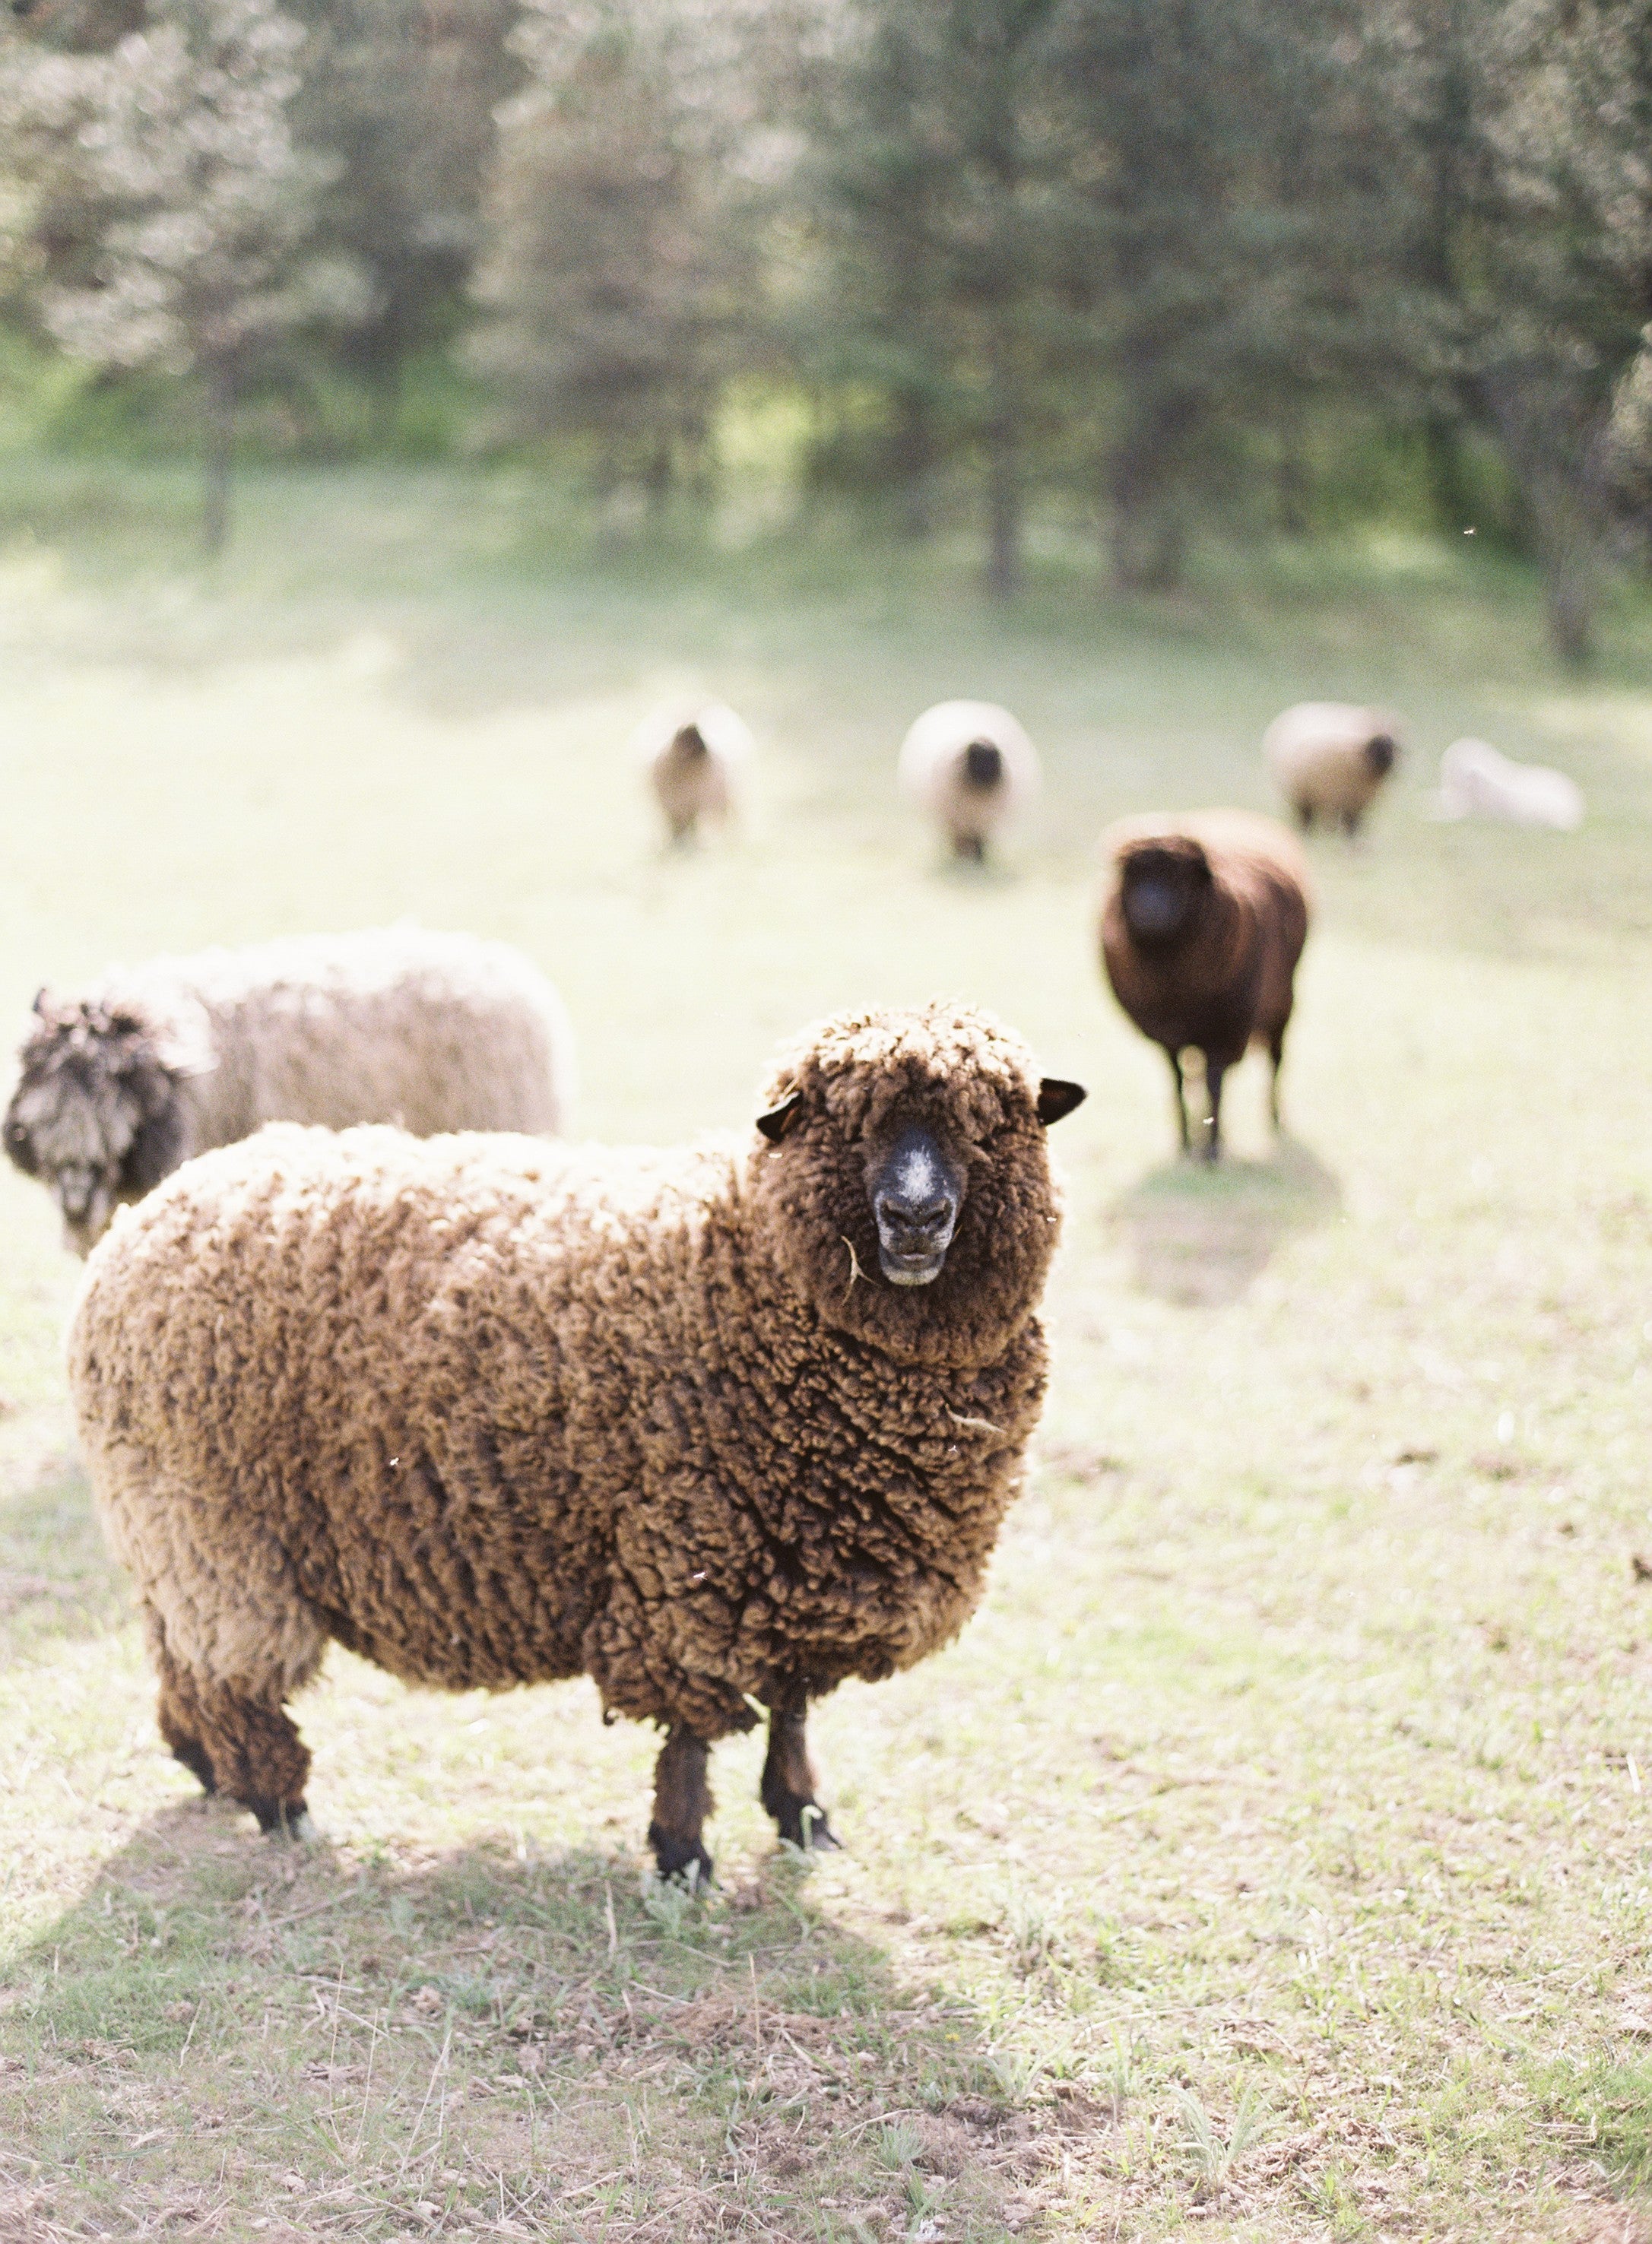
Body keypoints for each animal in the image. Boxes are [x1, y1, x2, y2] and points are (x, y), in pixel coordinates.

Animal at [67, 1003, 1087, 1877]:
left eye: (991, 1125)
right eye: (846, 1125)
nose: (915, 1219)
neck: (742, 1264)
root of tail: (141, 1223)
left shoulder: (804, 1571)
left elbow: (793, 1710)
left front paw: (801, 1818)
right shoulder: (688, 1569)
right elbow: (690, 1735)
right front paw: (682, 1857)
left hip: (168, 1527)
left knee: (176, 1653)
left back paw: (205, 1764)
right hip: (215, 1530)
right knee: (235, 1674)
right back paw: (280, 1806)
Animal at [898, 701, 1040, 865]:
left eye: (988, 760)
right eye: (978, 758)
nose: (985, 751)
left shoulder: (982, 822)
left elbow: (979, 843)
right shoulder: (956, 821)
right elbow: (961, 842)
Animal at [1099, 810, 1310, 1160]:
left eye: (1180, 877)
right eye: (1132, 875)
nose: (1150, 909)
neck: (1176, 985)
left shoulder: (1224, 1030)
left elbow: (1215, 1085)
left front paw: (1212, 1149)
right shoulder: (1167, 1033)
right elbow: (1178, 1083)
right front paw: (1185, 1142)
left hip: (1282, 1003)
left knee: (1276, 1062)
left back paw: (1275, 1120)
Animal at [1263, 702, 1401, 836]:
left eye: (1394, 747)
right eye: (1378, 747)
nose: (1393, 766)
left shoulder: (1353, 803)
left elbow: (1353, 828)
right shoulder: (1334, 797)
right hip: (1305, 798)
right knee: (1307, 821)